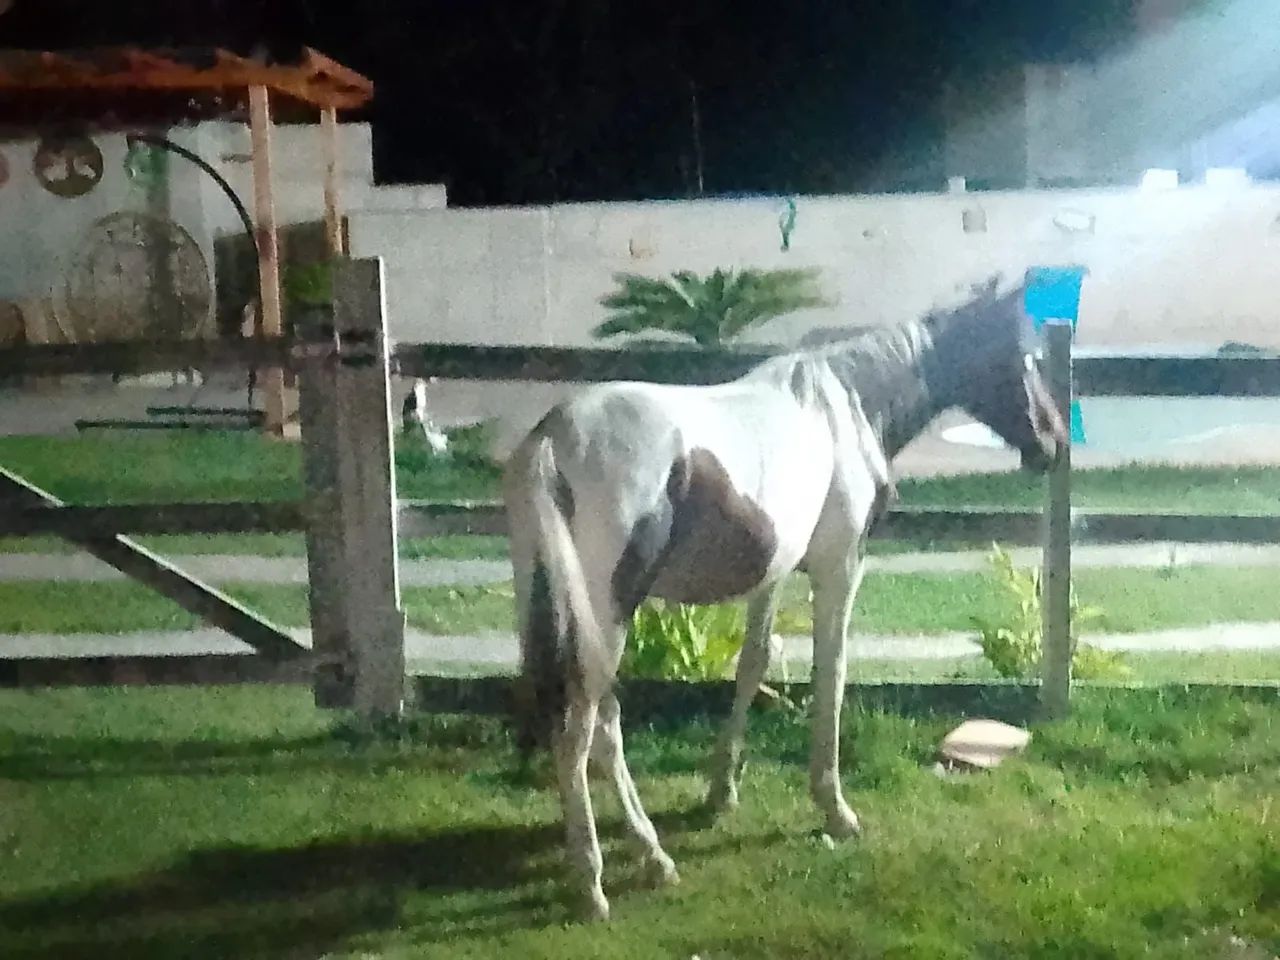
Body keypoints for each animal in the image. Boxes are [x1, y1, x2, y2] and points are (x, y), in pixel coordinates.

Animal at [501, 273, 1067, 921]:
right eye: (1024, 357)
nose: (1054, 442)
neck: (847, 407)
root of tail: (552, 438)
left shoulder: (772, 575)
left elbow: (752, 665)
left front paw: (721, 791)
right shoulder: (839, 568)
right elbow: (832, 672)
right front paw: (835, 808)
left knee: (602, 724)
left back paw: (653, 855)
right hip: (607, 614)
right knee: (581, 730)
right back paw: (595, 885)